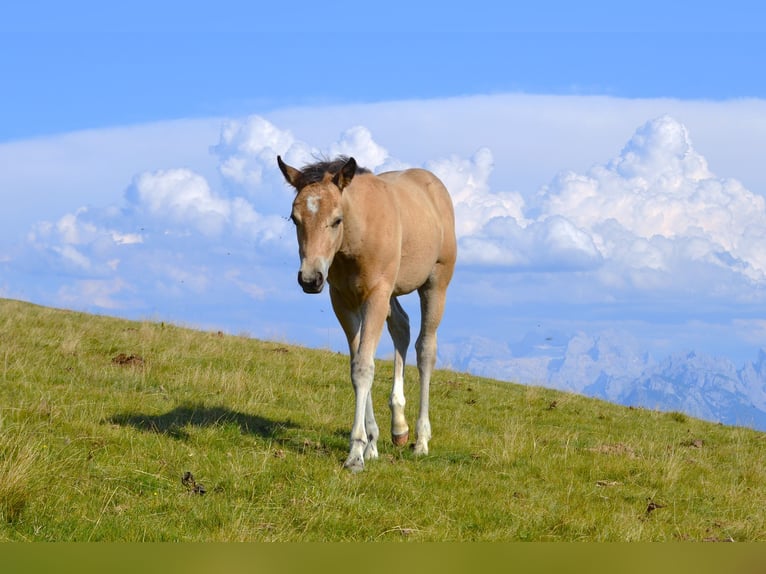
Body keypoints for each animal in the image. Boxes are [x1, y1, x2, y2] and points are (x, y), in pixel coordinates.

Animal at [278, 155, 457, 472]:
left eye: (336, 220)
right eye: (295, 219)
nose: (310, 279)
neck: (356, 237)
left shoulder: (374, 298)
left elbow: (364, 367)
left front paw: (355, 453)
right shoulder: (344, 302)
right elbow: (357, 364)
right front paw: (370, 444)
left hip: (435, 285)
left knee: (425, 349)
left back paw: (421, 440)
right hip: (391, 293)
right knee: (402, 328)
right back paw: (399, 428)